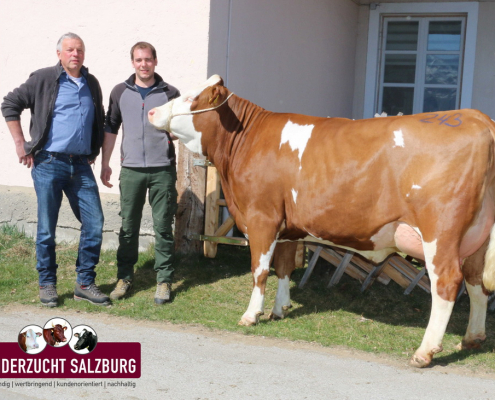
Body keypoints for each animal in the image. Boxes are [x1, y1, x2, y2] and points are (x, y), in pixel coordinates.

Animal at [149, 74, 495, 366]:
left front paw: (251, 315)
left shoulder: (262, 217)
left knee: (447, 282)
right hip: (478, 237)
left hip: (440, 232)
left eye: (191, 98)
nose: (152, 111)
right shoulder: (288, 226)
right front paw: (280, 309)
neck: (245, 141)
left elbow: (260, 270)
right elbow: (284, 267)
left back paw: (425, 351)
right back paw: (472, 339)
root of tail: (477, 117)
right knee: (476, 282)